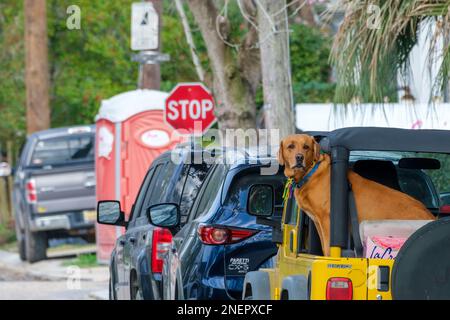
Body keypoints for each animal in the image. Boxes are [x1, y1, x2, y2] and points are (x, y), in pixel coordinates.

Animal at [278, 134, 436, 256]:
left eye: (306, 147)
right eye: (290, 146)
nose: (299, 158)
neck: (311, 172)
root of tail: (431, 217)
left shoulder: (327, 220)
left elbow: (329, 249)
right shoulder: (318, 222)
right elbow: (324, 246)